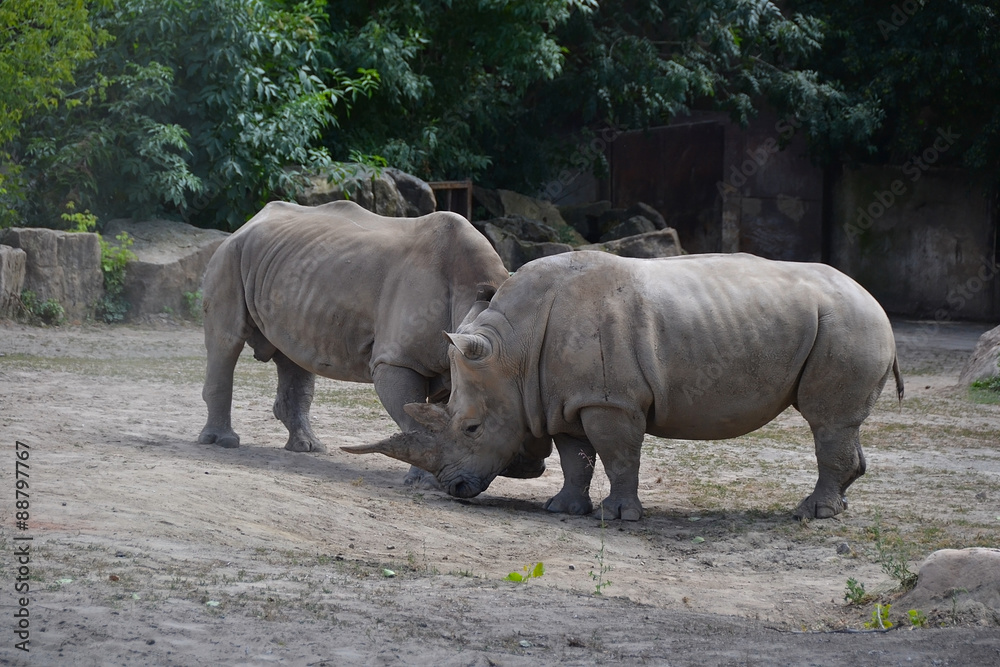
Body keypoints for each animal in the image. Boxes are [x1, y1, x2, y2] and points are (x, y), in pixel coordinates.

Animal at [198, 199, 550, 484]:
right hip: (230, 255)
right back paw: (222, 442)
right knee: (226, 341)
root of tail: (249, 222)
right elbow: (414, 420)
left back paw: (308, 448)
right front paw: (424, 481)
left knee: (293, 355)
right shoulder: (397, 360)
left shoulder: (458, 360)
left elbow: (435, 416)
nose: (526, 468)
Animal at [344, 251, 903, 520]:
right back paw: (835, 507)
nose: (453, 489)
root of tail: (877, 302)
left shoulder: (609, 401)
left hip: (849, 323)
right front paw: (563, 510)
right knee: (840, 426)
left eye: (473, 429)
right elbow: (576, 457)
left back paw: (811, 515)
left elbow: (617, 455)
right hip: (843, 322)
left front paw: (618, 517)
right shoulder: (561, 397)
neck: (513, 352)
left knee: (824, 421)